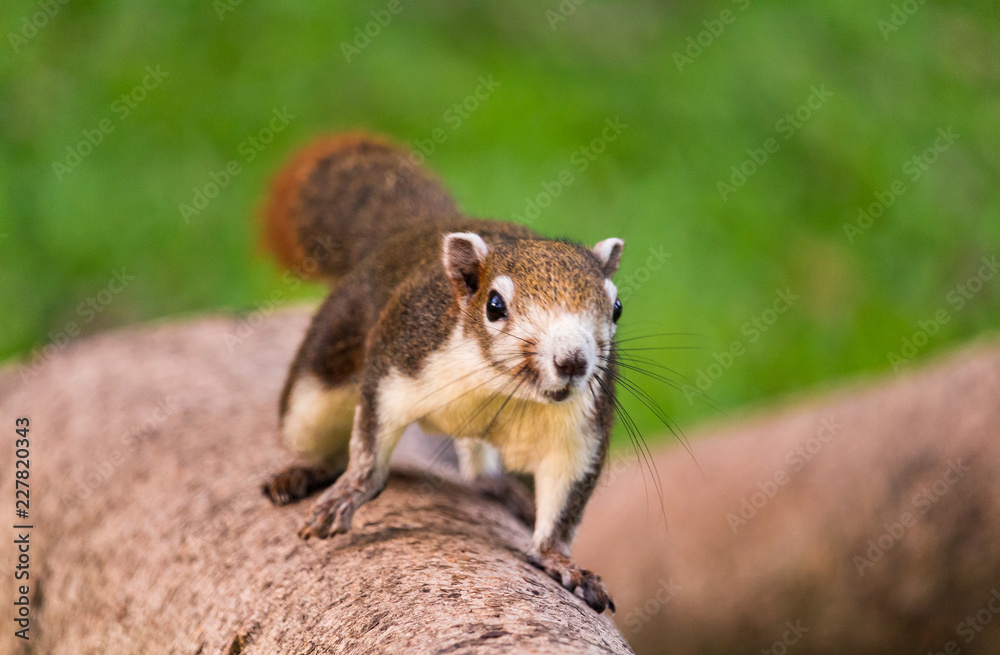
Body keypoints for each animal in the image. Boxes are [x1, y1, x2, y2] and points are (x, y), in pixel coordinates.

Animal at [260, 133, 624, 613]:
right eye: (494, 305)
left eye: (617, 308)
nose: (573, 361)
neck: (500, 385)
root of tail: (413, 233)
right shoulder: (398, 358)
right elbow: (369, 446)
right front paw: (347, 495)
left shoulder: (579, 429)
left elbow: (564, 501)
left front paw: (562, 563)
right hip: (324, 367)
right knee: (315, 431)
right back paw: (301, 472)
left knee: (475, 456)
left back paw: (499, 486)